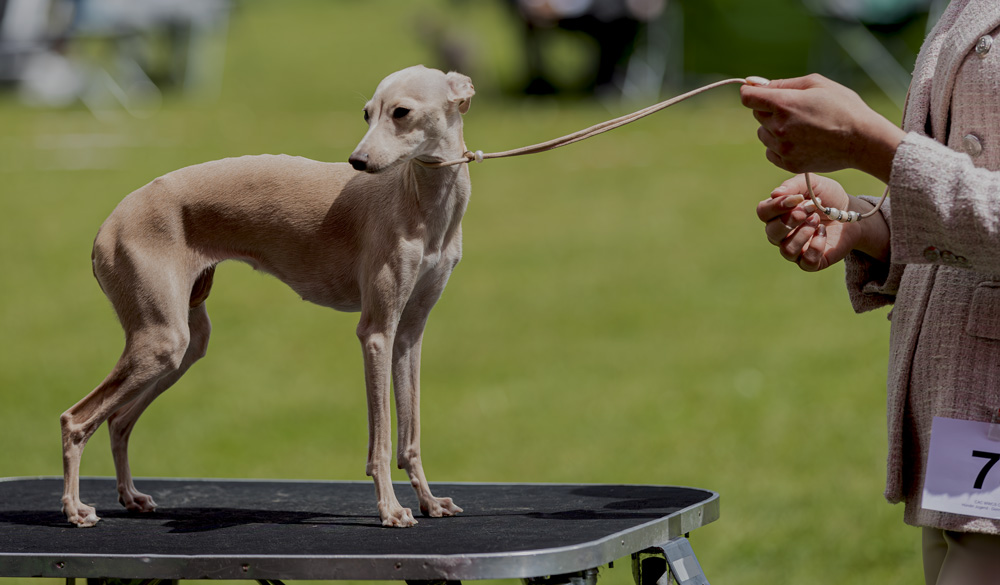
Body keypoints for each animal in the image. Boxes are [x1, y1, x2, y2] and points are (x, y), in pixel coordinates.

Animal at [62, 66, 476, 528]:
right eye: (367, 113)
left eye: (401, 112)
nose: (357, 162)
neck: (420, 200)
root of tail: (109, 223)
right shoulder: (376, 332)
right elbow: (381, 440)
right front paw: (390, 508)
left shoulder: (408, 334)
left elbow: (410, 435)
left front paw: (429, 501)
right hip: (160, 340)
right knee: (76, 420)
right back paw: (75, 508)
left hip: (184, 342)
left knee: (118, 420)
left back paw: (130, 496)